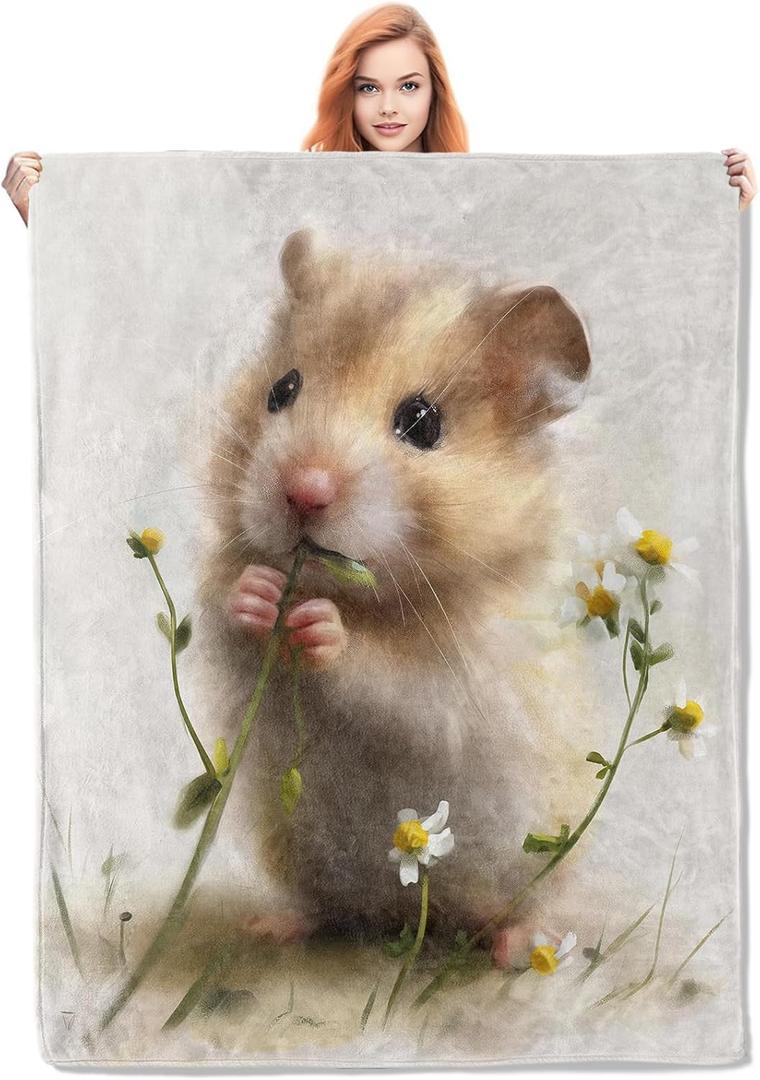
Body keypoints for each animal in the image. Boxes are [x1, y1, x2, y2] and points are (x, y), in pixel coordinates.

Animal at [196, 227, 593, 951]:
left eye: (422, 422)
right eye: (281, 389)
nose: (303, 491)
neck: (364, 596)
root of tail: (408, 916)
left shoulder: (458, 683)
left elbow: (389, 681)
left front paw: (321, 627)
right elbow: (227, 620)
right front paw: (258, 594)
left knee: (528, 906)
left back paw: (520, 946)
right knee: (327, 909)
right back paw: (270, 925)